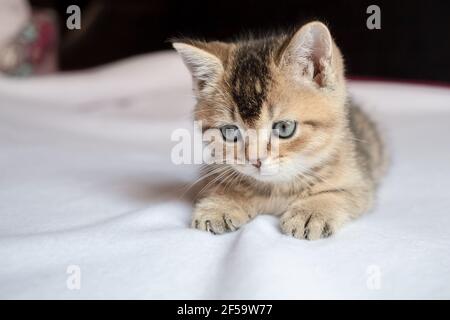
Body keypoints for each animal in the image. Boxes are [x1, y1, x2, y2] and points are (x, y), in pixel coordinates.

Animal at [172, 20, 386, 240]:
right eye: (230, 132)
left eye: (284, 128)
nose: (255, 160)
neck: (276, 189)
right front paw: (220, 204)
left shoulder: (359, 179)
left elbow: (341, 193)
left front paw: (311, 211)